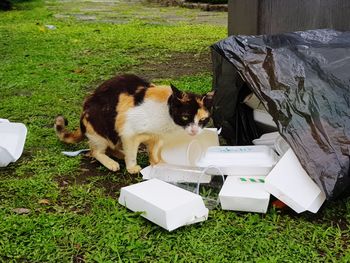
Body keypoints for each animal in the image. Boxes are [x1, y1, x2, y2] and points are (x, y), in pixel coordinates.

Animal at [54, 73, 213, 174]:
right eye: (185, 117)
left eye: (202, 120)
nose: (194, 131)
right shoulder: (128, 132)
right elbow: (132, 153)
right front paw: (131, 168)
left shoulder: (157, 138)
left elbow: (154, 151)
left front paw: (157, 164)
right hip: (101, 129)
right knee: (95, 151)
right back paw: (112, 163)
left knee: (110, 148)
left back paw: (119, 154)